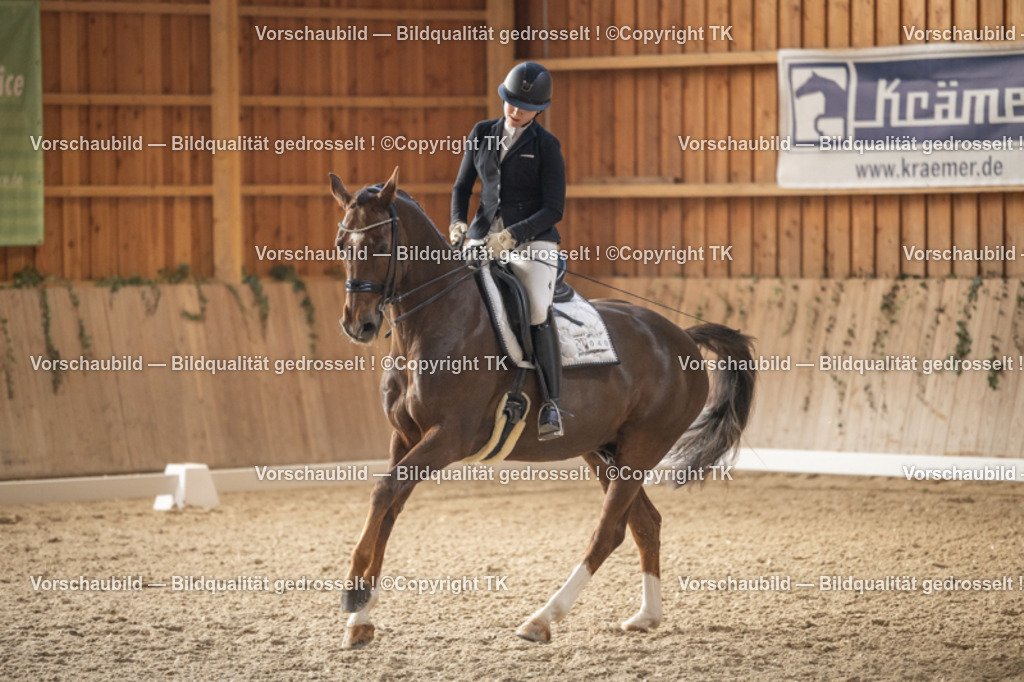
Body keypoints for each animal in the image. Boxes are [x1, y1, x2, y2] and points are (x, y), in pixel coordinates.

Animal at [330, 168, 756, 649]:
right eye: (342, 243)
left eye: (380, 243)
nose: (358, 325)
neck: (434, 322)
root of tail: (681, 337)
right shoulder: (404, 436)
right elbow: (389, 506)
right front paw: (361, 617)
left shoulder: (447, 438)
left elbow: (383, 492)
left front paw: (352, 594)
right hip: (603, 450)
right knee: (645, 522)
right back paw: (646, 616)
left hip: (643, 447)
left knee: (609, 530)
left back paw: (543, 617)